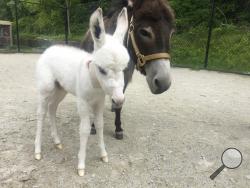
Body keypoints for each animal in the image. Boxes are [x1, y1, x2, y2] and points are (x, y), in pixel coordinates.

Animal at [34, 7, 129, 176]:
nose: (118, 100)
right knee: (41, 113)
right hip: (45, 88)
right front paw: (81, 165)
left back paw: (57, 141)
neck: (94, 82)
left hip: (61, 89)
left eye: (124, 69)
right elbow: (84, 129)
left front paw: (103, 155)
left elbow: (99, 125)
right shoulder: (83, 102)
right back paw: (37, 151)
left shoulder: (99, 102)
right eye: (102, 70)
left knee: (52, 108)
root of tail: (49, 48)